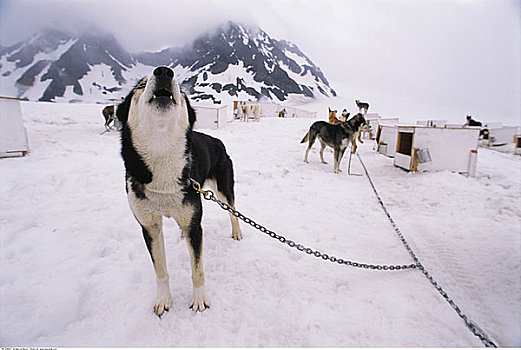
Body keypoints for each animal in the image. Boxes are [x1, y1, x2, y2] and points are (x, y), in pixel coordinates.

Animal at [116, 66, 242, 318]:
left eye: (182, 90)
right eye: (140, 85)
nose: (164, 72)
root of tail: (218, 141)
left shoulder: (195, 226)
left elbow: (197, 269)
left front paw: (199, 301)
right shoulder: (150, 227)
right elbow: (160, 270)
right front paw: (164, 300)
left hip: (224, 191)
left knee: (233, 211)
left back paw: (237, 232)